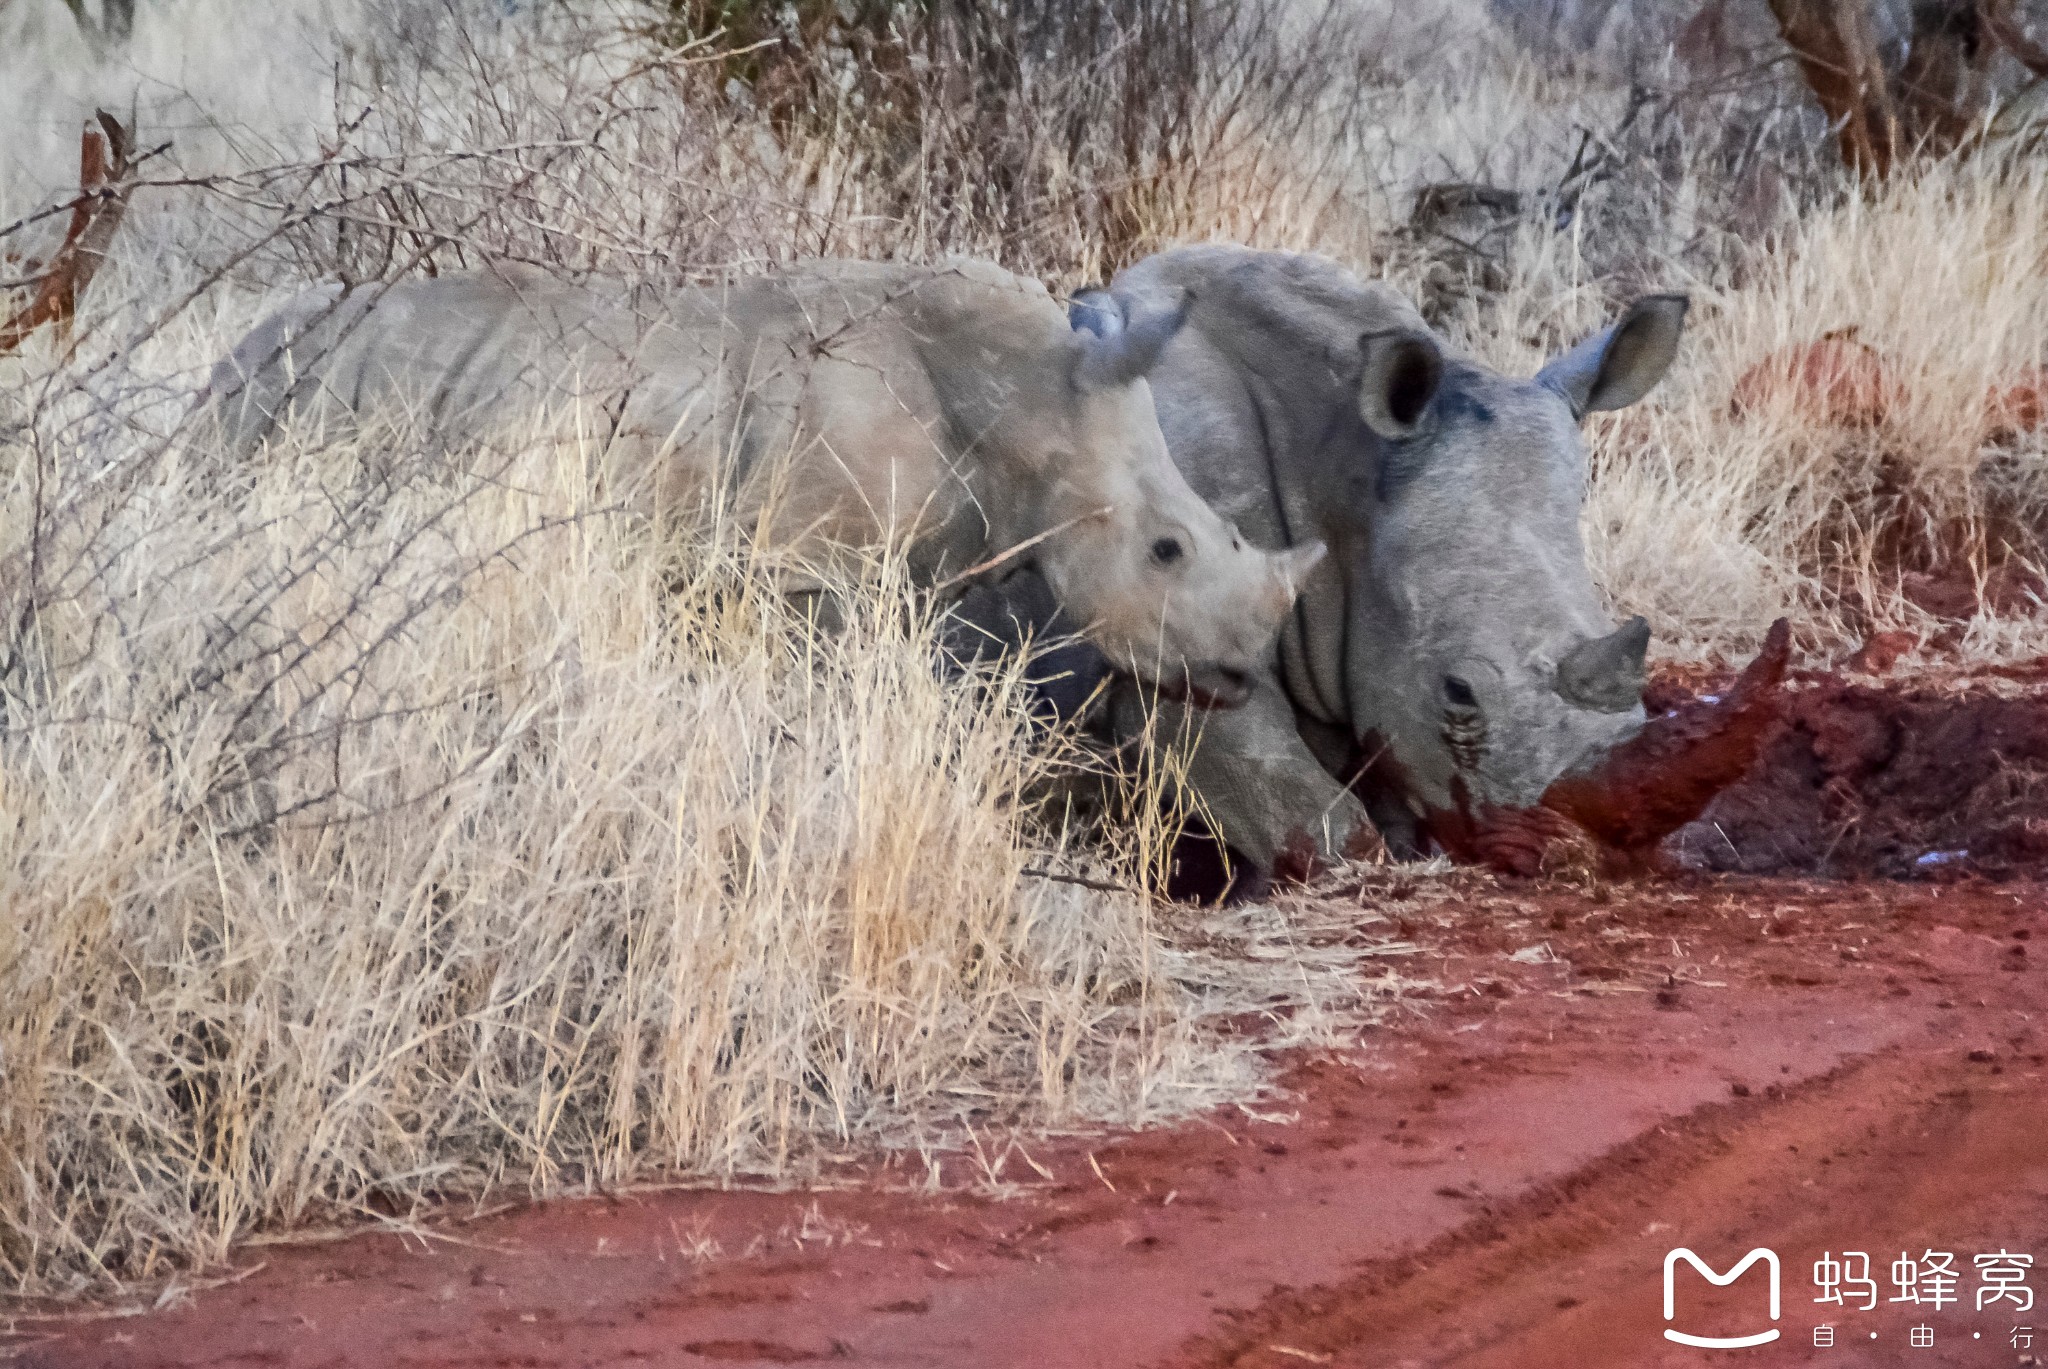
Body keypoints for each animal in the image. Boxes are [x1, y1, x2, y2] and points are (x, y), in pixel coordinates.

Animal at [207, 259, 1327, 704]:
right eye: (1167, 549)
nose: (1241, 677)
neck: (1031, 401)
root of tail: (236, 352)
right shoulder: (802, 564)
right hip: (300, 396)